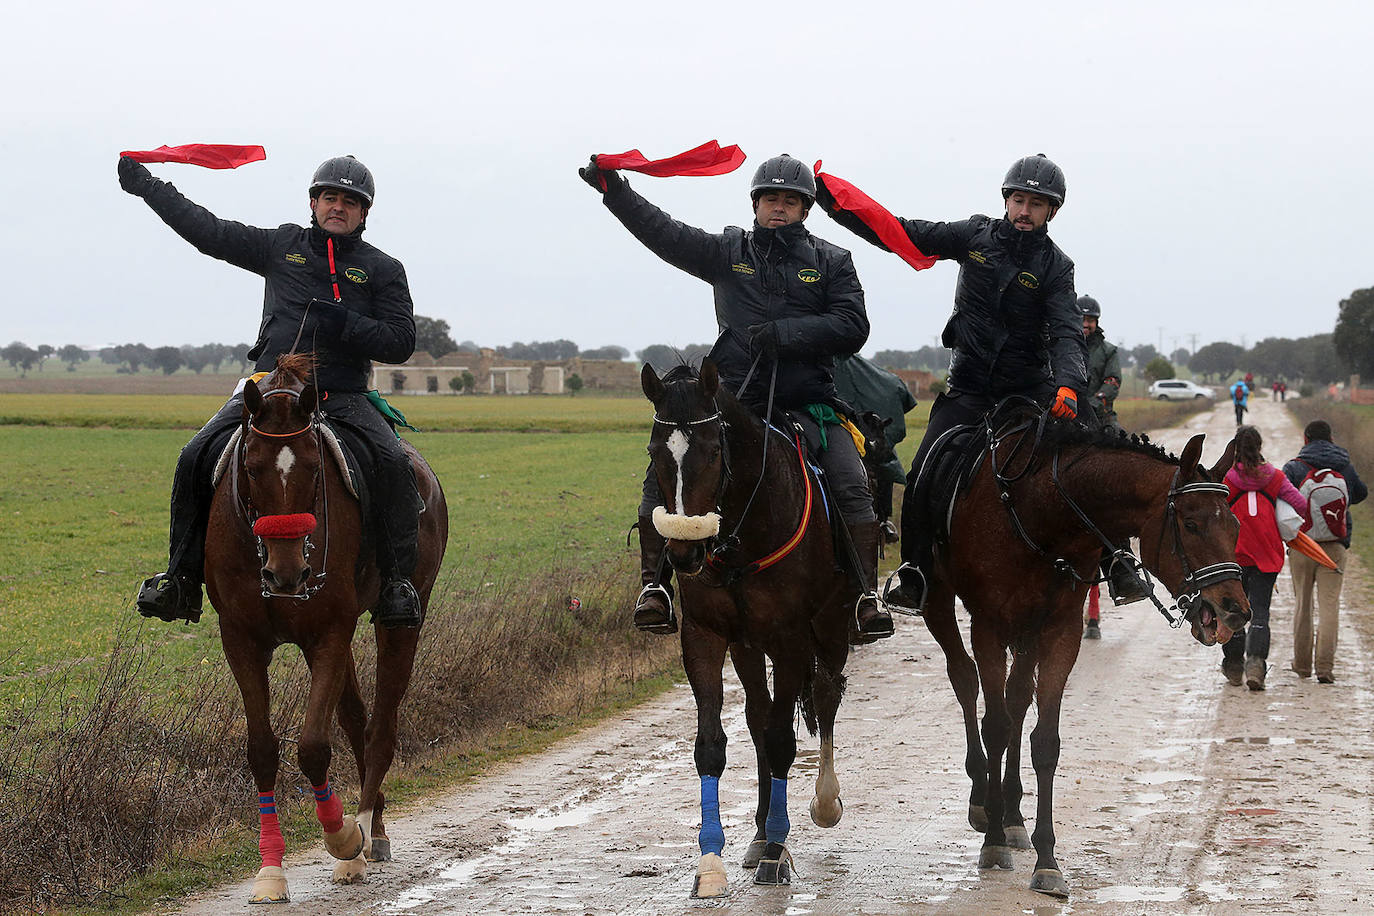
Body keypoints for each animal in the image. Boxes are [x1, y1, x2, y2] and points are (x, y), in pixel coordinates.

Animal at [203, 354, 445, 906]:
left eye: (315, 469)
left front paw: (342, 837)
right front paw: (271, 871)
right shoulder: (241, 639)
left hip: (400, 621)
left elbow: (313, 747)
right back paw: (375, 826)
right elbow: (262, 750)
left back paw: (362, 836)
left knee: (381, 727)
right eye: (251, 467)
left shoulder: (328, 635)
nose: (287, 573)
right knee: (356, 719)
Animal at [637, 362, 851, 900]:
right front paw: (711, 861)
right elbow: (712, 746)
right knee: (758, 715)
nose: (683, 552)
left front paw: (777, 851)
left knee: (824, 697)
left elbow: (783, 740)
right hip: (748, 647)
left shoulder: (793, 639)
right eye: (654, 453)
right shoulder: (706, 637)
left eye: (715, 450)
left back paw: (822, 804)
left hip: (831, 629)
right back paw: (755, 834)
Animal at [917, 417, 1253, 900]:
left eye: (1236, 528)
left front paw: (1046, 860)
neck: (1040, 515)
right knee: (964, 680)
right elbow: (994, 725)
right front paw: (994, 841)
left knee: (1017, 699)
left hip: (1028, 635)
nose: (1234, 611)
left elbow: (1045, 741)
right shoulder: (989, 627)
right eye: (1190, 524)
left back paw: (1013, 816)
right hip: (940, 604)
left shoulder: (1060, 632)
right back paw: (984, 801)